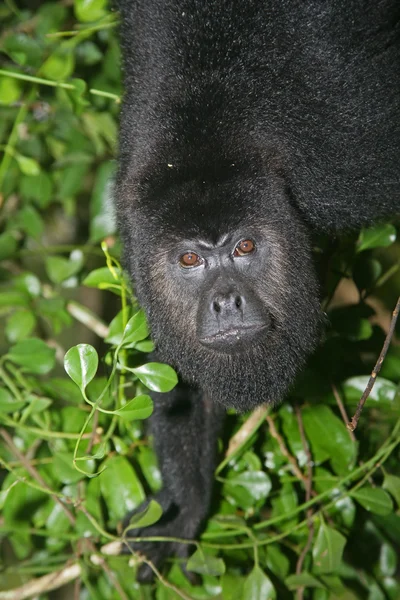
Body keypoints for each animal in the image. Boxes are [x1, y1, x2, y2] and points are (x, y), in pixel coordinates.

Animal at [115, 0, 400, 580]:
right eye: (189, 259)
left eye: (244, 247)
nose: (226, 301)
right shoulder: (134, 225)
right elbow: (178, 376)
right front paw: (181, 508)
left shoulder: (348, 166)